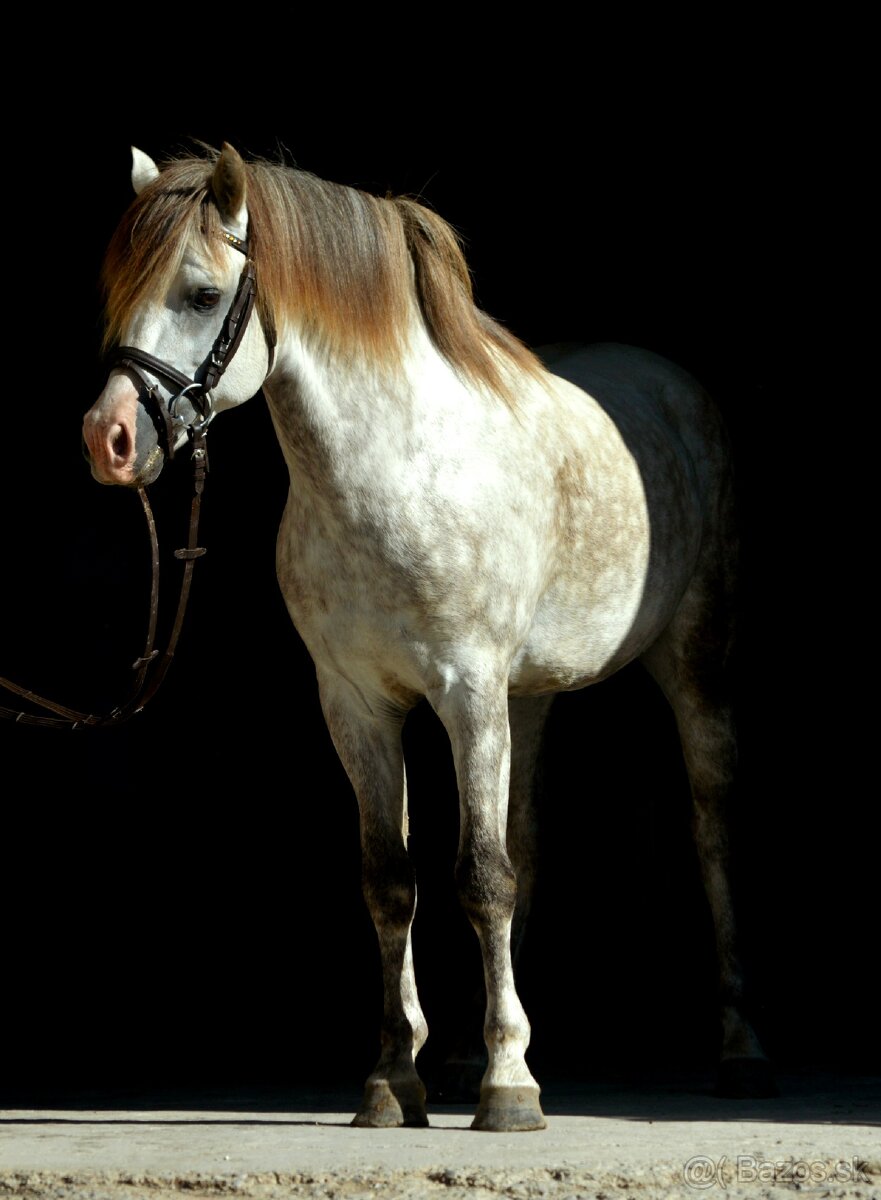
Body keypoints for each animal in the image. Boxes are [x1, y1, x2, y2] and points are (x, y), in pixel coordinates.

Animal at [81, 142, 775, 1131]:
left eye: (203, 296)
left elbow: (480, 875)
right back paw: (453, 1057)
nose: (109, 438)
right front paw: (392, 1079)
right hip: (531, 698)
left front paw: (510, 1086)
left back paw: (738, 1050)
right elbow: (393, 879)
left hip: (691, 666)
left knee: (709, 826)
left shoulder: (466, 691)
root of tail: (671, 383)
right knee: (523, 838)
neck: (394, 473)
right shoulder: (356, 706)